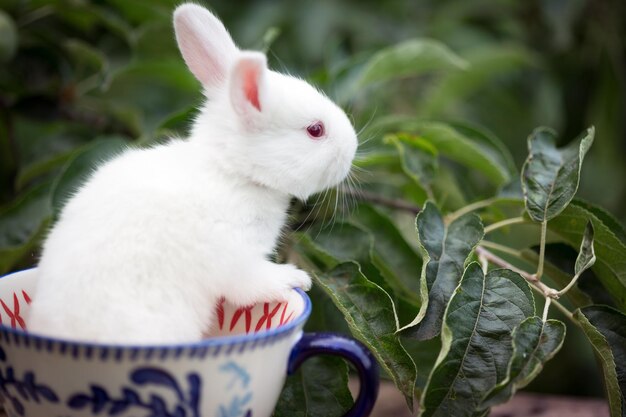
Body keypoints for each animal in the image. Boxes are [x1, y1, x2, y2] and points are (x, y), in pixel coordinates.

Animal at [26, 2, 356, 342]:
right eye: (315, 130)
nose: (353, 149)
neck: (231, 171)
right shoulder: (238, 260)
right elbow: (252, 285)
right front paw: (295, 278)